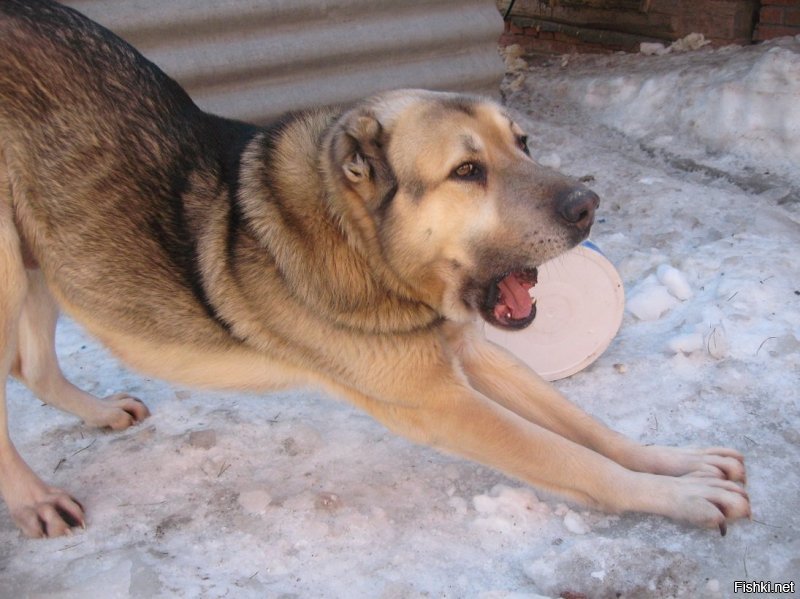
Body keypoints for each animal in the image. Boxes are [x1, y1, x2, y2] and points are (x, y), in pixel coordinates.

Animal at [1, 0, 752, 540]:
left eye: (524, 143)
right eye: (467, 171)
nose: (589, 207)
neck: (366, 248)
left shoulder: (468, 352)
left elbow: (591, 428)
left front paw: (679, 464)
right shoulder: (441, 403)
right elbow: (573, 458)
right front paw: (678, 495)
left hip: (41, 258)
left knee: (32, 367)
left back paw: (97, 412)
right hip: (9, 271)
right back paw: (35, 498)